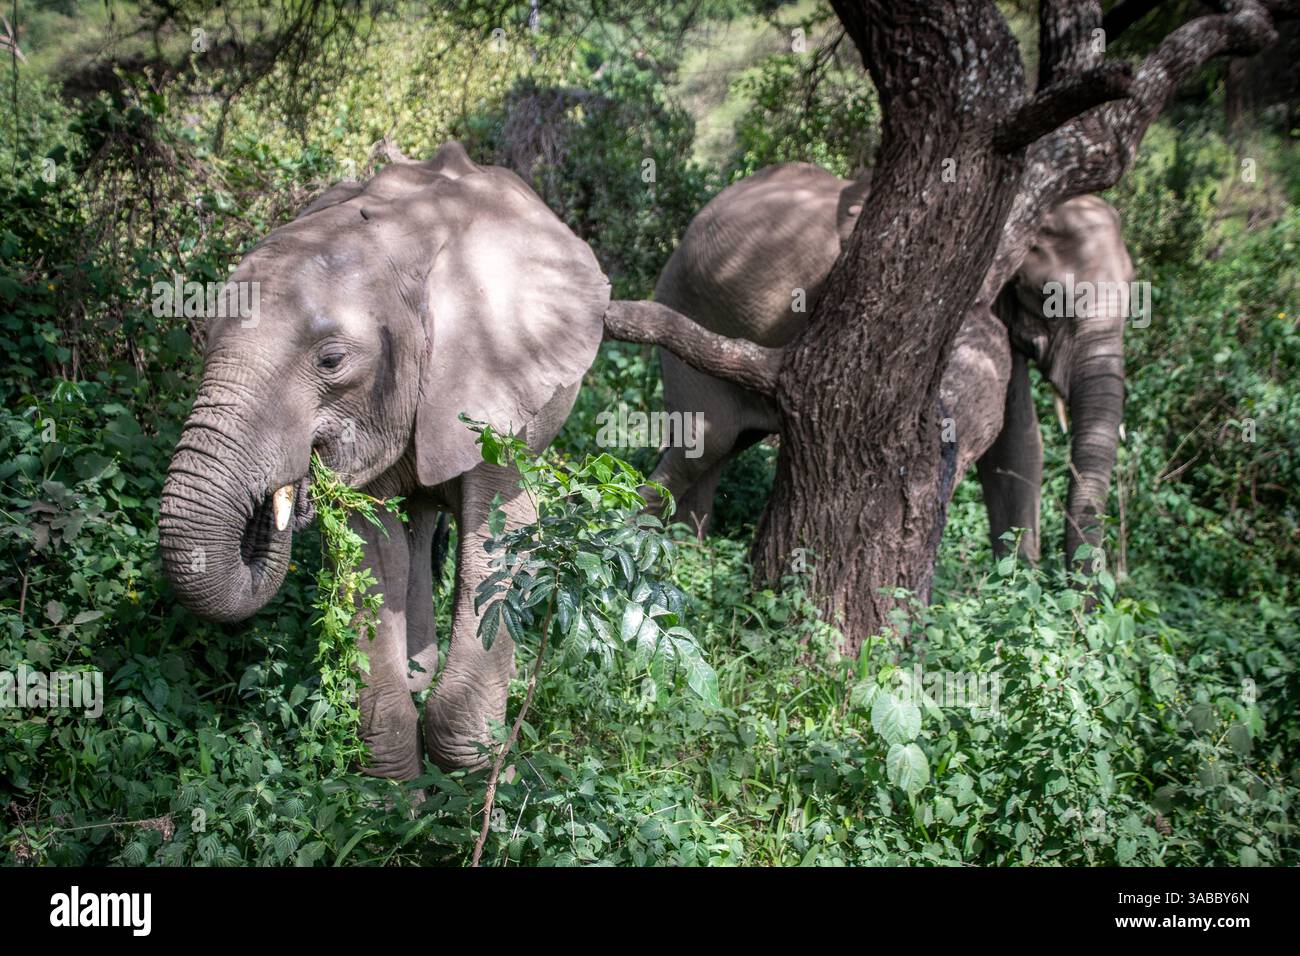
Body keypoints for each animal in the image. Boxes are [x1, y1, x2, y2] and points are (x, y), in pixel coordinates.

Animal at [159, 141, 611, 779]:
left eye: (331, 360)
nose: (286, 496)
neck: (404, 244)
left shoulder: (497, 389)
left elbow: (501, 534)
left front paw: (485, 789)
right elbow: (370, 548)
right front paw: (398, 793)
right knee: (415, 523)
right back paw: (419, 670)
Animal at [647, 162, 1134, 568]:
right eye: (1049, 297)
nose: (1087, 597)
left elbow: (1017, 441)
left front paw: (1019, 588)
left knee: (720, 450)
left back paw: (689, 550)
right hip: (680, 303)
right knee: (705, 442)